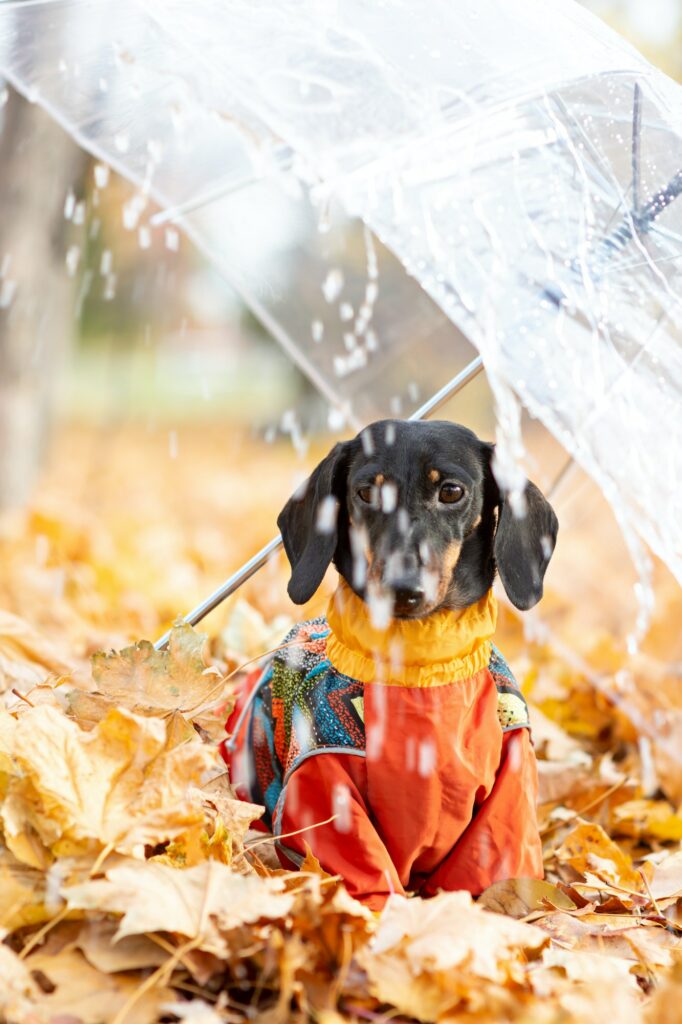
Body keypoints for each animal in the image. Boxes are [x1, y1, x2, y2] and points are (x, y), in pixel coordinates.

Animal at [223, 419, 557, 909]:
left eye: (451, 491)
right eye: (366, 492)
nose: (403, 589)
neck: (418, 673)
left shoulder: (508, 795)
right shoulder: (323, 789)